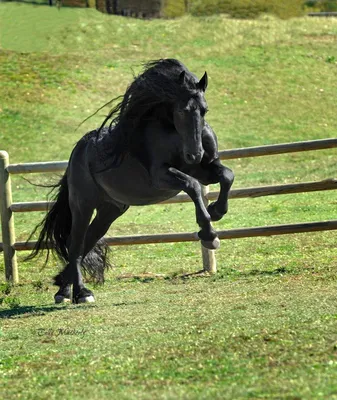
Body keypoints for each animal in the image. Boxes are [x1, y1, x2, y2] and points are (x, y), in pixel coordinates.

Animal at [28, 58, 234, 304]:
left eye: (204, 110)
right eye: (182, 111)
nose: (194, 154)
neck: (172, 134)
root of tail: (77, 152)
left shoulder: (204, 169)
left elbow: (227, 175)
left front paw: (216, 211)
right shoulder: (161, 177)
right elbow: (192, 186)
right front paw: (208, 234)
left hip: (110, 210)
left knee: (85, 243)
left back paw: (64, 290)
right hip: (83, 206)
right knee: (75, 244)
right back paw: (82, 293)